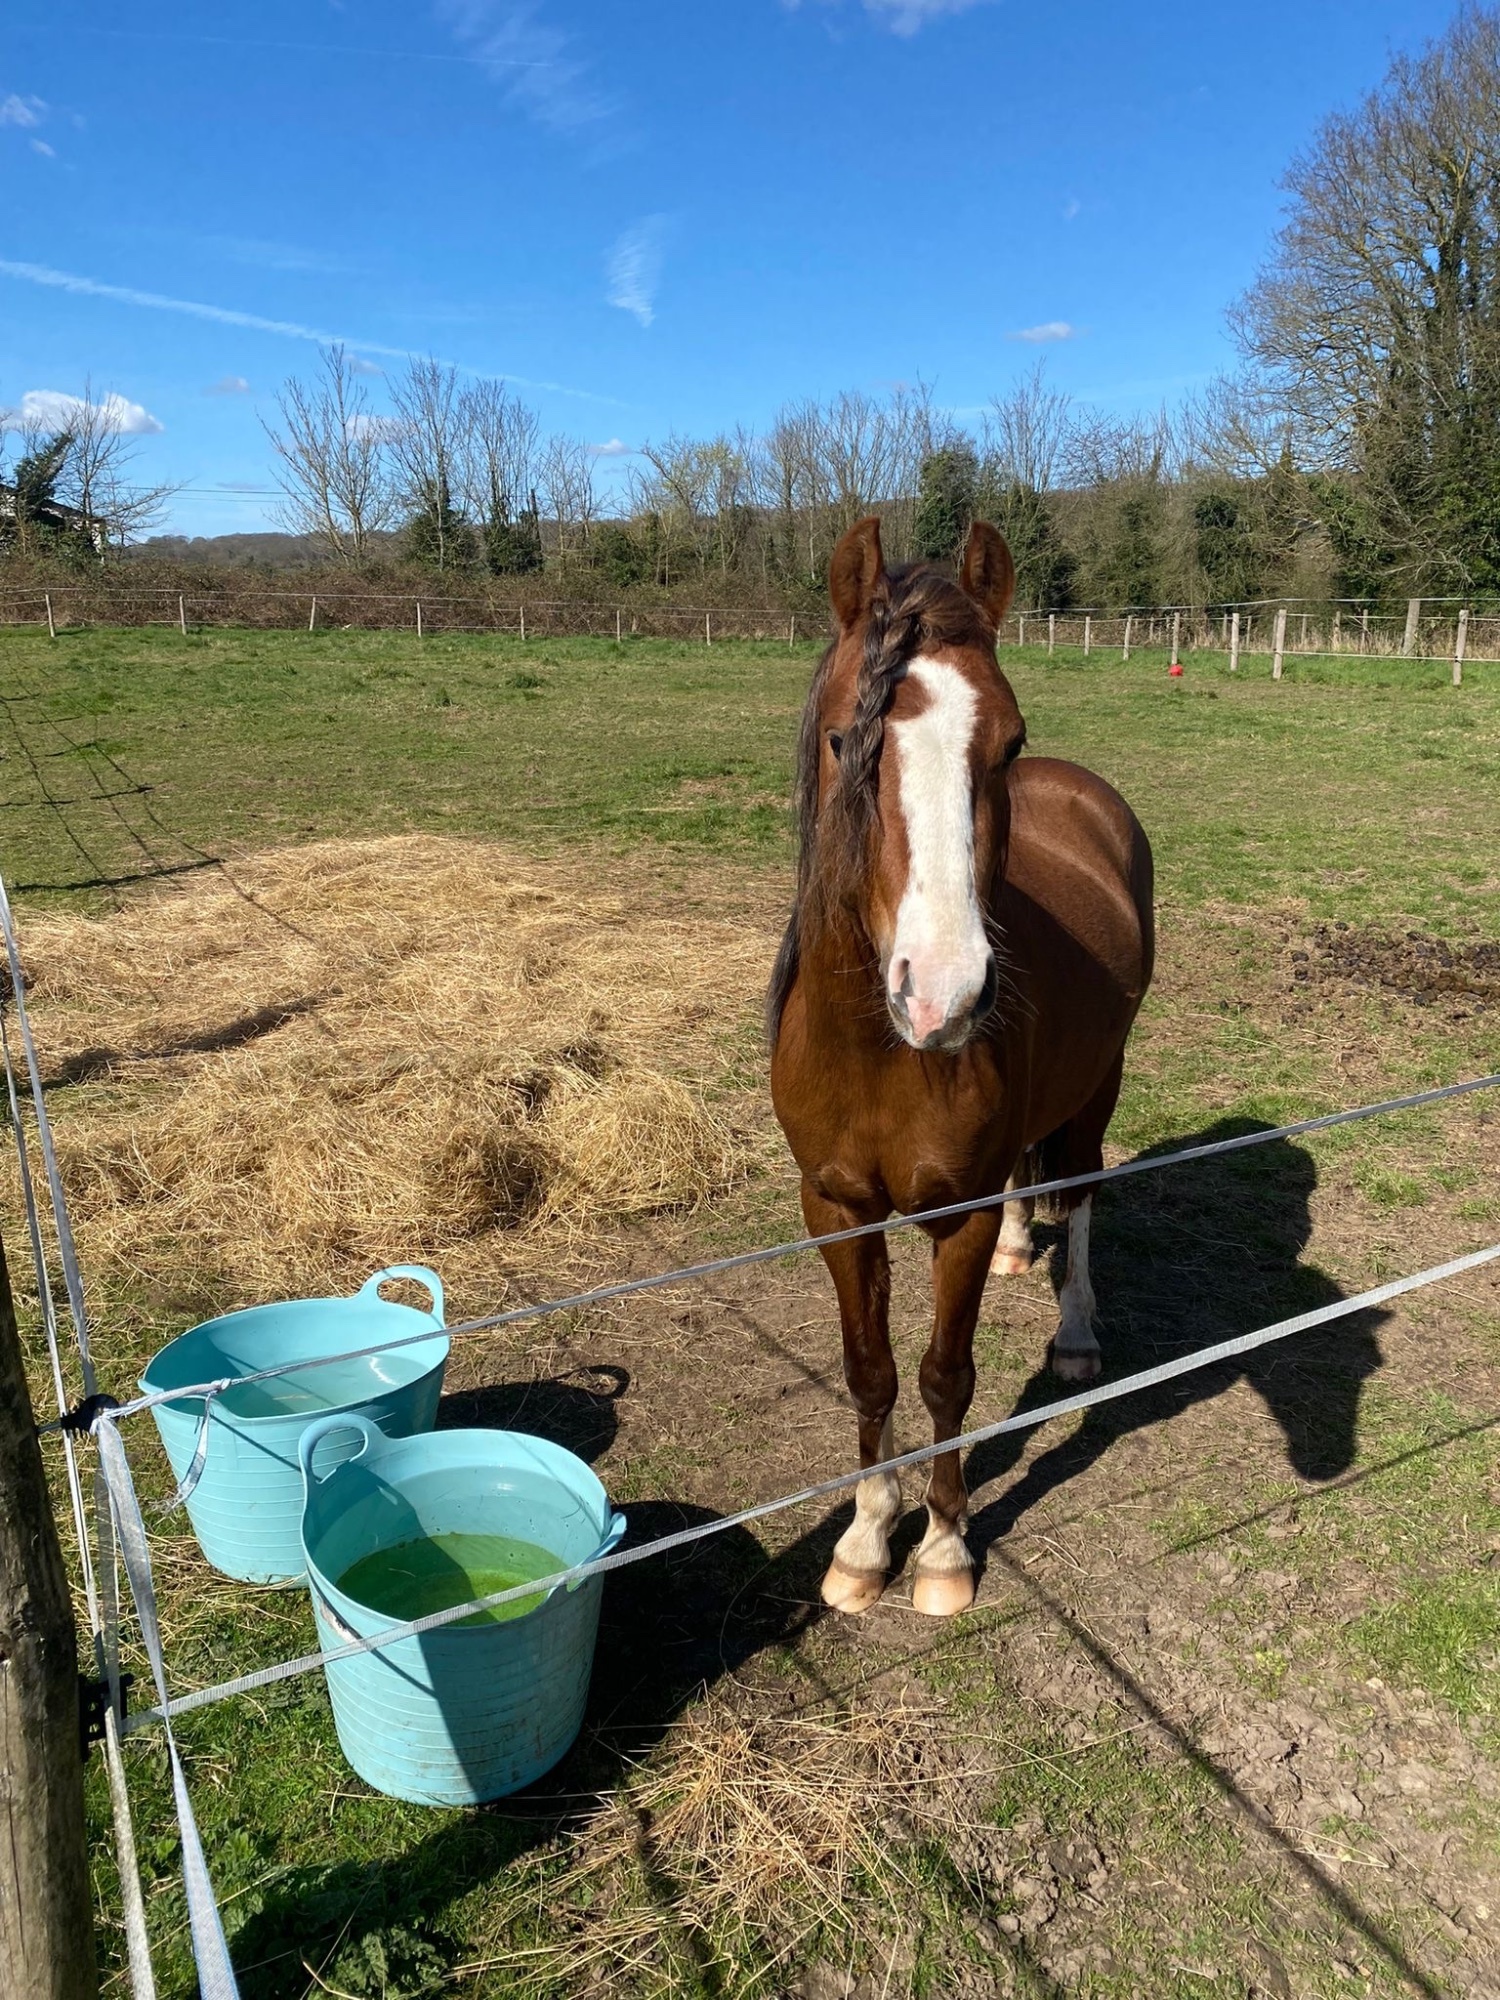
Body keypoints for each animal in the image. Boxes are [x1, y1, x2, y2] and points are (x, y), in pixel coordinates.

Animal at [768, 516, 1154, 1618]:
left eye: (1008, 740)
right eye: (845, 739)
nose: (944, 992)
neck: (880, 1056)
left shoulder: (960, 1215)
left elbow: (946, 1374)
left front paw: (941, 1548)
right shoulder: (836, 1207)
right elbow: (869, 1371)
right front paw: (864, 1540)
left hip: (1100, 1081)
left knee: (1082, 1187)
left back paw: (1075, 1332)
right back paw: (1029, 1248)